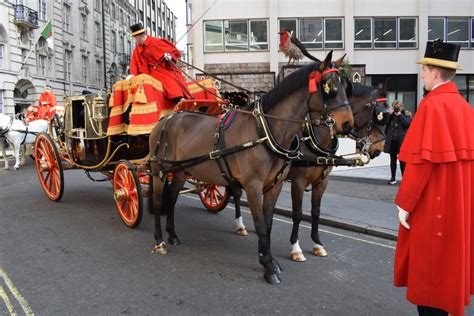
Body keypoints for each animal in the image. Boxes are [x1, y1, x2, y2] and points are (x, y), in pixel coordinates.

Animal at [150, 51, 354, 284]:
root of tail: (166, 119)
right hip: (159, 171)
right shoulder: (255, 186)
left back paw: (172, 235)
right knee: (158, 202)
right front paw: (269, 266)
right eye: (330, 87)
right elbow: (262, 225)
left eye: (346, 86)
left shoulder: (276, 185)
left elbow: (269, 223)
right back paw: (159, 241)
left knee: (172, 200)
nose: (348, 124)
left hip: (181, 172)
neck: (263, 132)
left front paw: (269, 259)